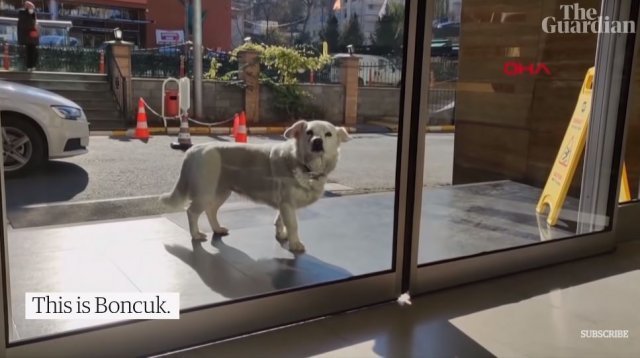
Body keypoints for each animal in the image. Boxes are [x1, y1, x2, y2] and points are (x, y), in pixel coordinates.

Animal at [159, 119, 350, 252]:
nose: (317, 141)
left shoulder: (284, 204)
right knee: (191, 212)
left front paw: (282, 235)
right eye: (309, 132)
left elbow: (280, 220)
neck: (304, 164)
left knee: (211, 210)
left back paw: (217, 229)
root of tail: (193, 150)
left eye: (328, 134)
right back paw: (196, 234)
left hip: (222, 192)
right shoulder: (287, 203)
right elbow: (293, 224)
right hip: (204, 192)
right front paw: (295, 243)